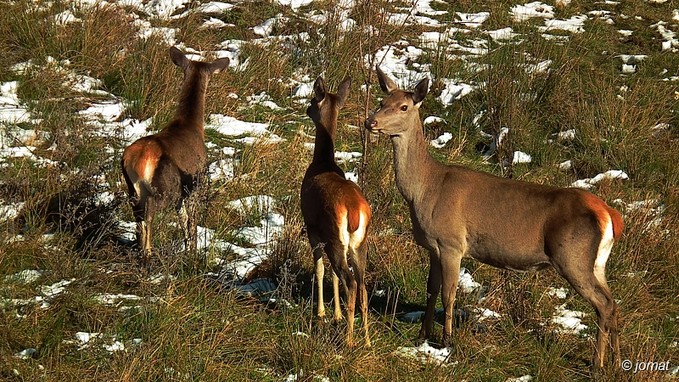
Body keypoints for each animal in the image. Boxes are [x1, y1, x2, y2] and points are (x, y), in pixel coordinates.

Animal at [121, 46, 230, 264]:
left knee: (138, 216)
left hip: (131, 189)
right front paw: (193, 252)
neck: (192, 126)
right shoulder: (195, 183)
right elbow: (191, 221)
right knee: (149, 213)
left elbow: (183, 220)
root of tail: (138, 161)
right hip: (164, 187)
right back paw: (148, 253)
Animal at [302, 76, 372, 348]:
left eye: (314, 100)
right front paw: (337, 315)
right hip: (359, 244)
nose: (306, 109)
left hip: (335, 237)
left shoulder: (312, 229)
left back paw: (350, 341)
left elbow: (320, 269)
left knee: (351, 282)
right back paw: (366, 341)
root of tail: (354, 210)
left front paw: (322, 313)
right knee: (362, 286)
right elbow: (331, 274)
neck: (322, 163)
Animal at [364, 67, 624, 372]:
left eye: (403, 106)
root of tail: (609, 215)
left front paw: (446, 343)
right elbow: (431, 291)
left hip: (573, 256)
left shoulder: (452, 242)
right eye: (382, 101)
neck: (424, 190)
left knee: (603, 304)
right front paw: (421, 337)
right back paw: (617, 361)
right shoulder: (433, 247)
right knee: (613, 302)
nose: (370, 121)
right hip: (597, 263)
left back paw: (597, 364)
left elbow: (448, 294)